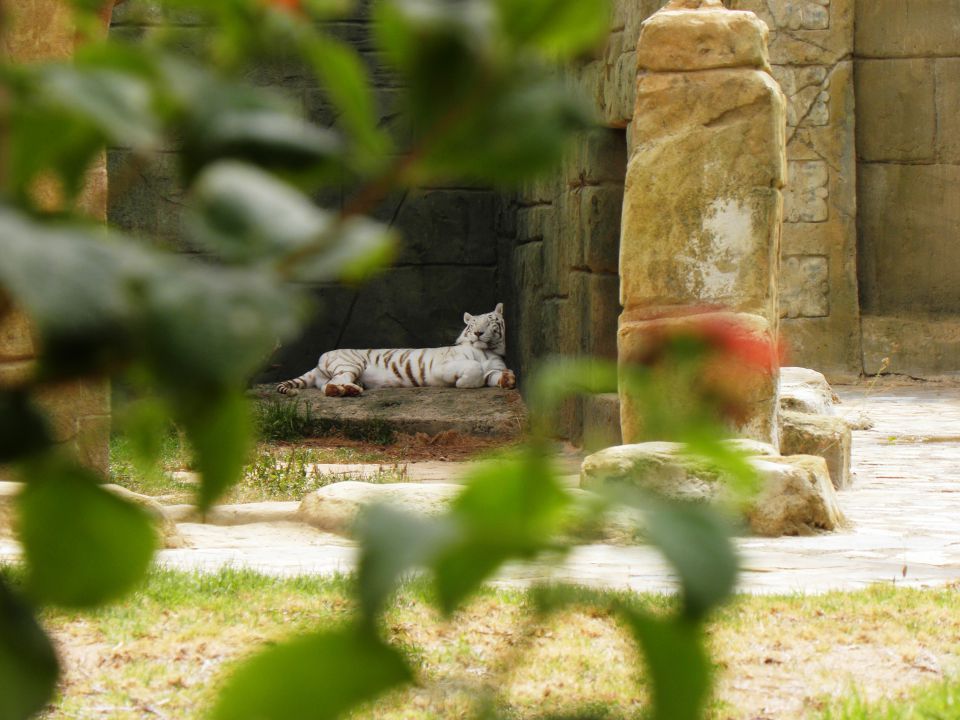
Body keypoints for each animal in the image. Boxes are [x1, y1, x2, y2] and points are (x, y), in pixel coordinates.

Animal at [278, 302, 516, 396]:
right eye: (473, 324)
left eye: (489, 321)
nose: (478, 333)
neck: (487, 349)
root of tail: (318, 362)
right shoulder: (442, 365)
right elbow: (474, 368)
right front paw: (463, 383)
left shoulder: (494, 368)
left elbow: (494, 374)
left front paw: (508, 379)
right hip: (350, 363)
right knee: (330, 386)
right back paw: (347, 390)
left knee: (328, 384)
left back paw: (351, 389)